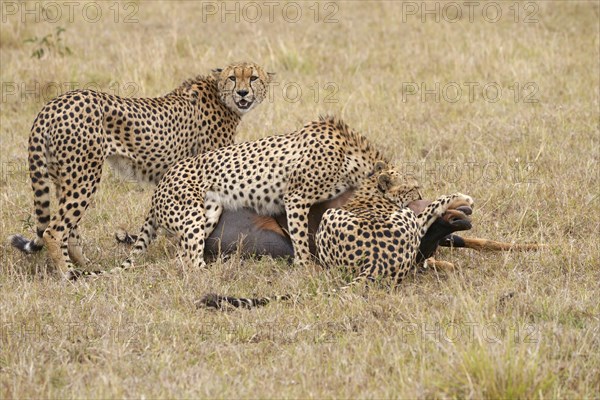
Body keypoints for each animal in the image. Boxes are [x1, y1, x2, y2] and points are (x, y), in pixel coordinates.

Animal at [9, 61, 272, 278]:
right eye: (233, 77)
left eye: (253, 77)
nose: (242, 92)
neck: (219, 95)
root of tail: (53, 103)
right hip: (84, 176)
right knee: (54, 231)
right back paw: (68, 274)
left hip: (64, 176)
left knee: (68, 229)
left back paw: (85, 266)